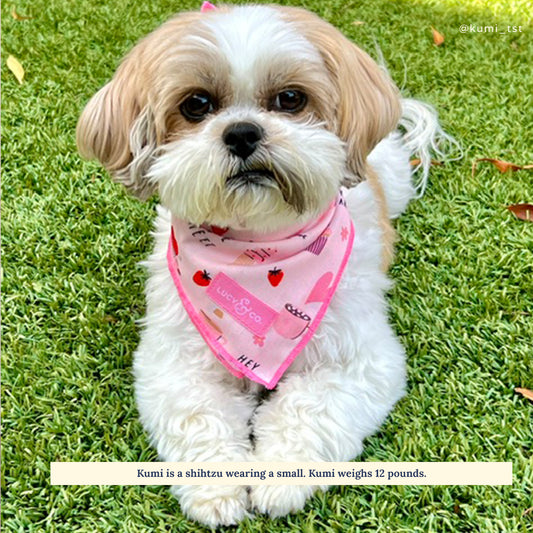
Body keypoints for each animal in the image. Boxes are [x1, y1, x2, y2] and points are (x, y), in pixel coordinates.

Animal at [78, 3, 454, 528]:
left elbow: (309, 409)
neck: (259, 251)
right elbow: (198, 416)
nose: (241, 132)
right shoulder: (175, 363)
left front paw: (280, 479)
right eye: (196, 105)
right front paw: (216, 491)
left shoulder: (360, 361)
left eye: (290, 99)